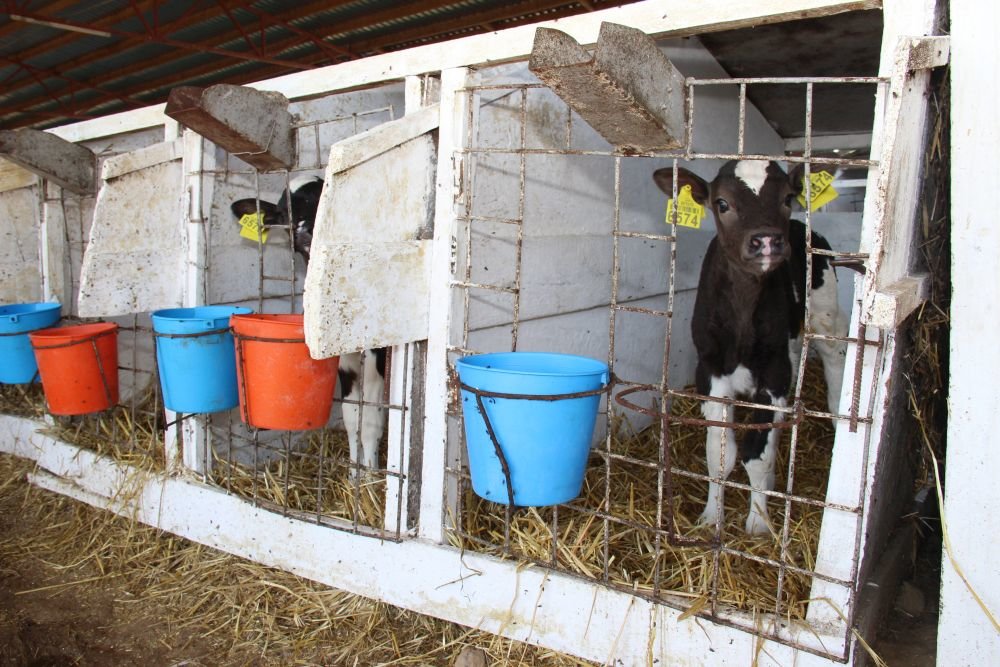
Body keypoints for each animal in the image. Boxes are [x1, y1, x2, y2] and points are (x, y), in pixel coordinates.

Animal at [231, 176, 387, 480]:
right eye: (284, 213)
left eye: (327, 200)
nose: (305, 231)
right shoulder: (341, 358)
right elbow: (352, 415)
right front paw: (353, 476)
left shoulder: (376, 353)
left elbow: (371, 420)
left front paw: (370, 480)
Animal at [653, 160, 847, 535]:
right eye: (722, 203)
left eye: (787, 198)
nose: (767, 240)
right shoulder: (710, 371)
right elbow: (719, 456)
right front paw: (711, 517)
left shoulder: (773, 374)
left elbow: (757, 456)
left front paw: (758, 521)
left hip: (824, 309)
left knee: (834, 356)